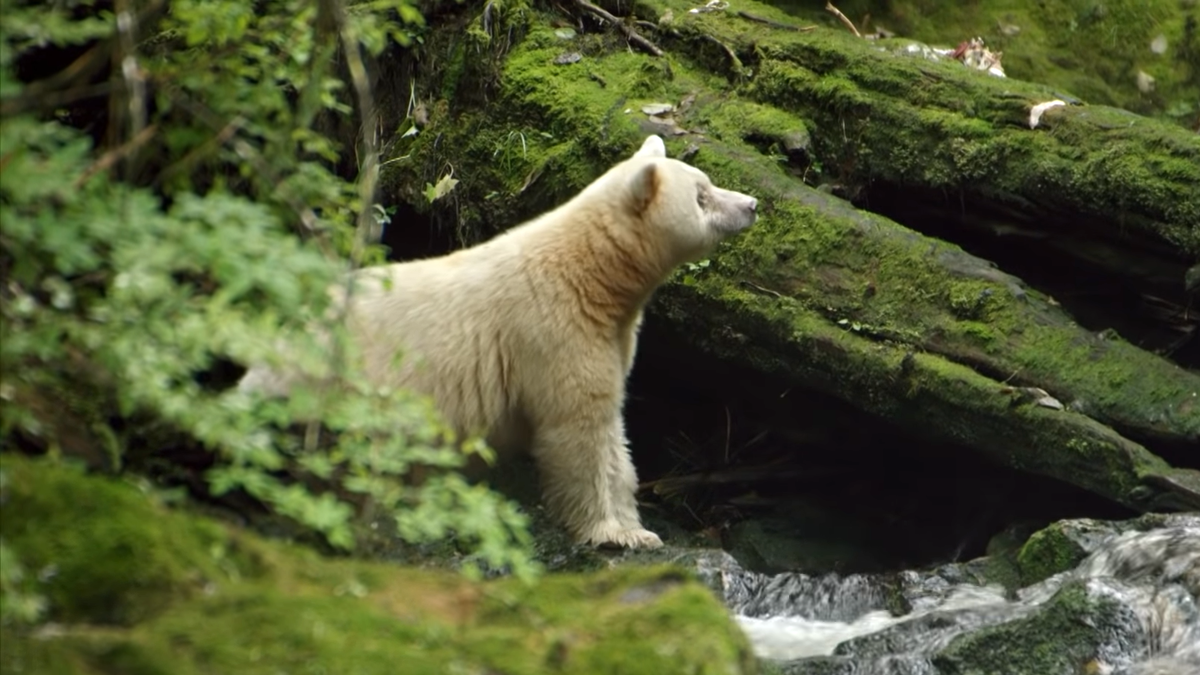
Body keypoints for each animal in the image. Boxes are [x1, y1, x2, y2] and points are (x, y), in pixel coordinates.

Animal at [237, 135, 753, 547]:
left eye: (707, 181)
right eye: (702, 195)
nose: (750, 205)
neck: (591, 275)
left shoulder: (611, 335)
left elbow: (613, 436)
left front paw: (639, 529)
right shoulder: (552, 331)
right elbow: (575, 427)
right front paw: (611, 532)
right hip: (344, 388)